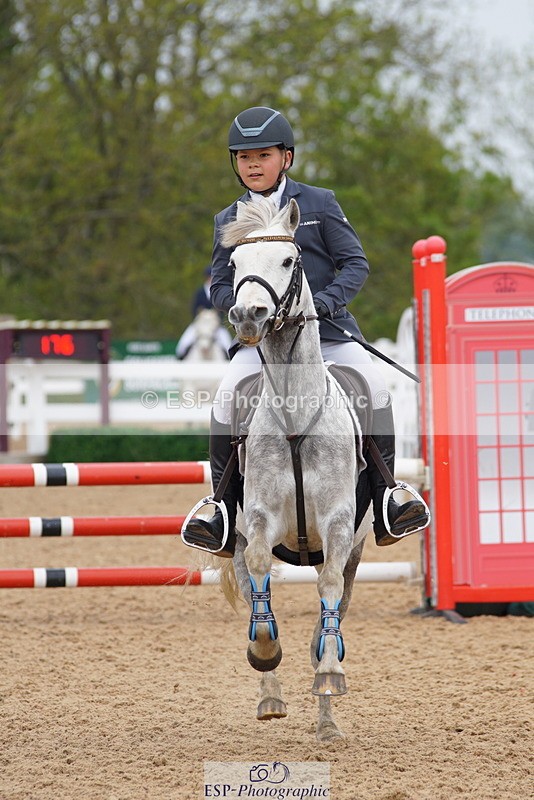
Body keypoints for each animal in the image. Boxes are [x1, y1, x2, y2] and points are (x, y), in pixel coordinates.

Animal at [188, 198, 372, 742]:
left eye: (290, 260)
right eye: (233, 265)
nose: (248, 315)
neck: (295, 418)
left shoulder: (338, 525)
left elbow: (328, 590)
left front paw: (329, 673)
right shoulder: (259, 522)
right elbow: (260, 581)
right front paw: (266, 655)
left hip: (355, 551)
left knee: (333, 606)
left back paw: (327, 715)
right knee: (255, 591)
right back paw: (270, 696)